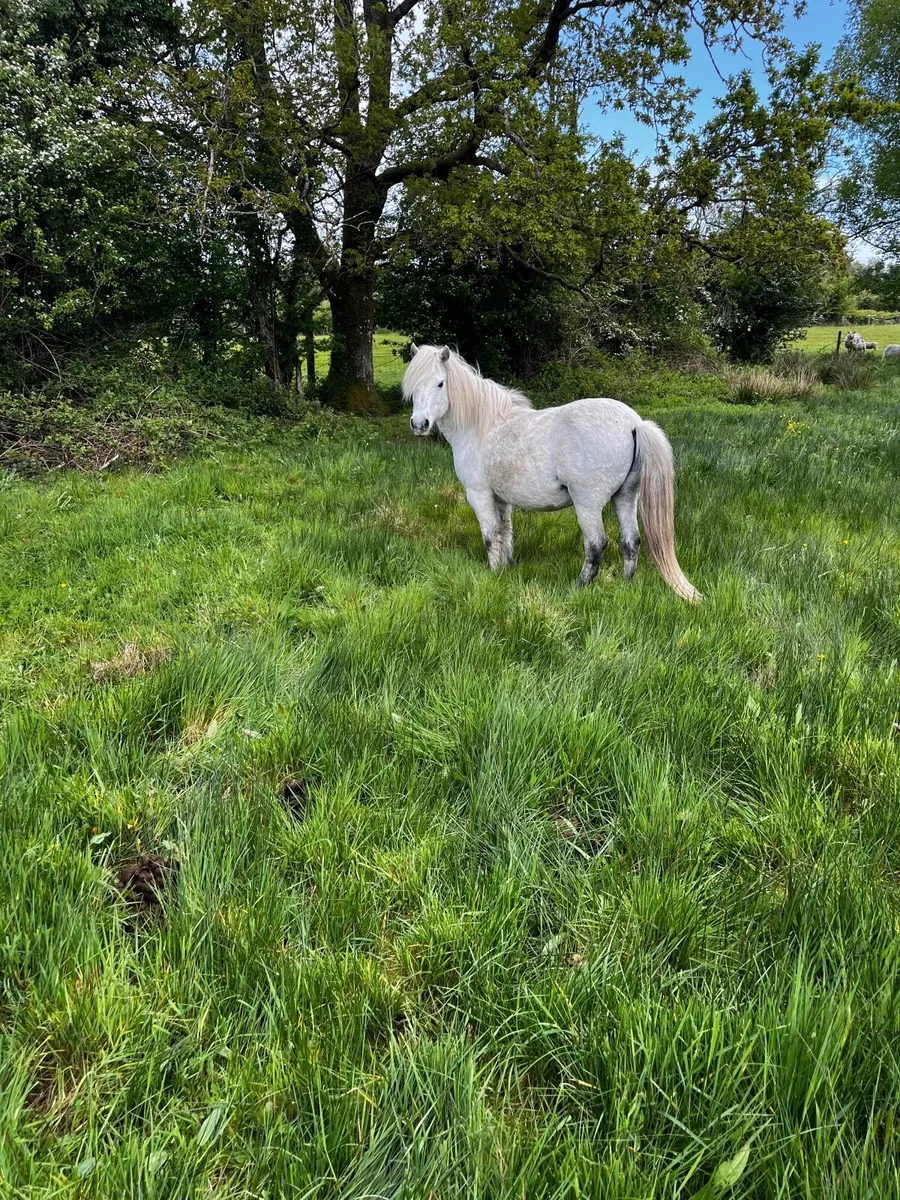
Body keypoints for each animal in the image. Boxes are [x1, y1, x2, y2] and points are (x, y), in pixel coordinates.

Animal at [402, 344, 701, 603]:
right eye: (413, 386)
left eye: (440, 383)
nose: (419, 424)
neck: (483, 426)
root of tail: (634, 423)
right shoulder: (501, 499)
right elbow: (504, 533)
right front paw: (505, 570)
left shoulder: (479, 494)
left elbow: (490, 536)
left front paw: (494, 573)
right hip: (625, 497)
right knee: (631, 541)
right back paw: (625, 585)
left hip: (587, 504)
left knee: (596, 544)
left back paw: (579, 586)